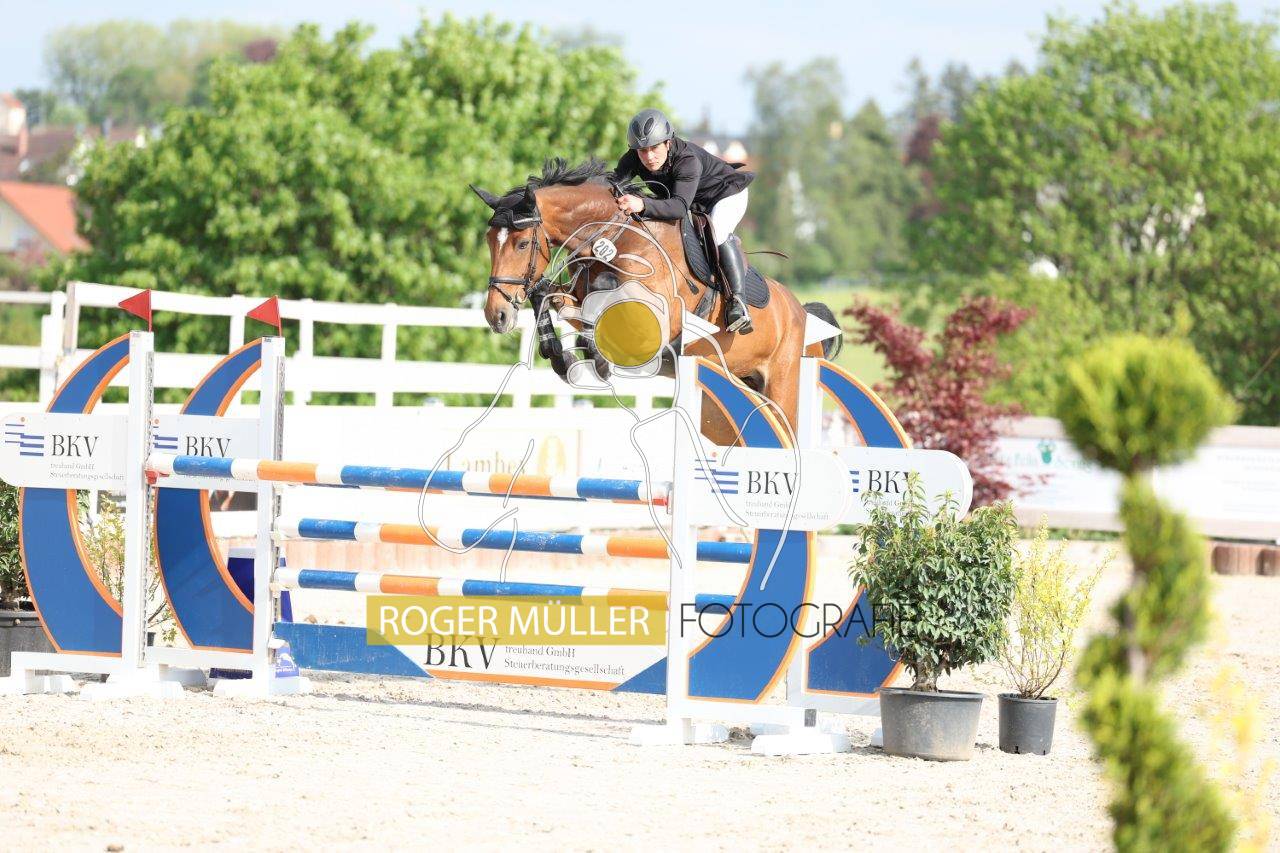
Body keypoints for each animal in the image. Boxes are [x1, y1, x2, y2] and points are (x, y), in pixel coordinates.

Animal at [471, 158, 842, 446]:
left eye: (521, 244)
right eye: (490, 241)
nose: (496, 315)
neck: (615, 236)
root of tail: (803, 315)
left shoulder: (654, 317)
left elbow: (601, 302)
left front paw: (594, 358)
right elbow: (547, 293)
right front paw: (560, 355)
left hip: (783, 389)